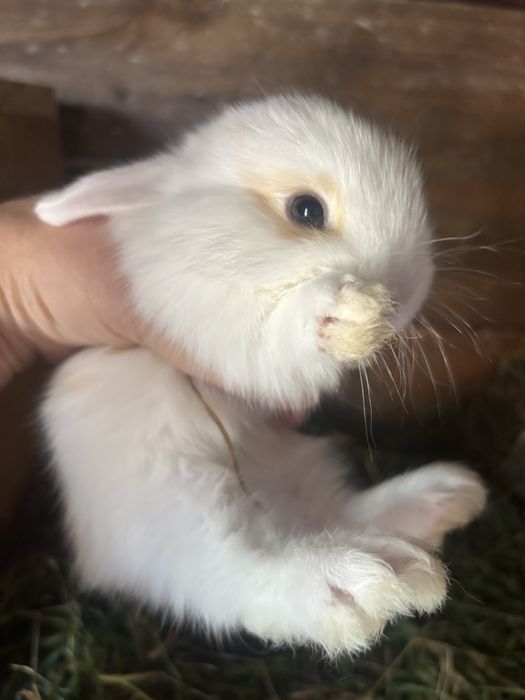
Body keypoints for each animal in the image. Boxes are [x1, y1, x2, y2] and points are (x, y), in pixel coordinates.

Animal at [35, 94, 486, 657]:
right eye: (306, 210)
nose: (409, 295)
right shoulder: (205, 327)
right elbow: (273, 337)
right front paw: (335, 310)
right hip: (179, 498)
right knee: (239, 568)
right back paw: (356, 584)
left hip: (302, 470)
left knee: (333, 515)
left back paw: (442, 503)